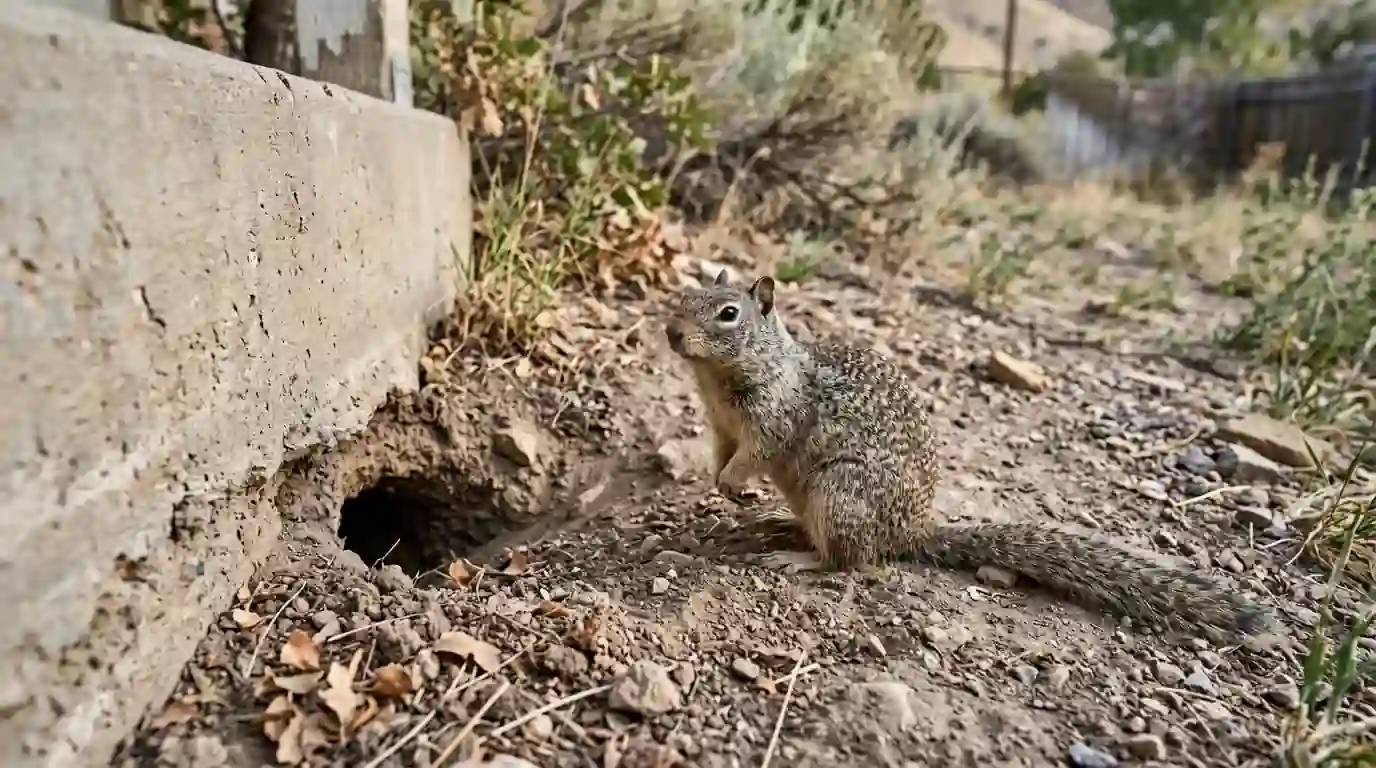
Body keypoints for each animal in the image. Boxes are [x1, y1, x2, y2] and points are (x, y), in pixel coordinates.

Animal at [663, 270, 1282, 645]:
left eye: (727, 313)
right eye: (683, 297)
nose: (671, 332)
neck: (723, 379)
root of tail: (912, 532)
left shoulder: (775, 419)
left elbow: (757, 453)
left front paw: (733, 483)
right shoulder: (720, 424)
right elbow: (721, 453)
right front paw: (717, 480)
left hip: (840, 494)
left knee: (852, 561)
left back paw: (797, 557)